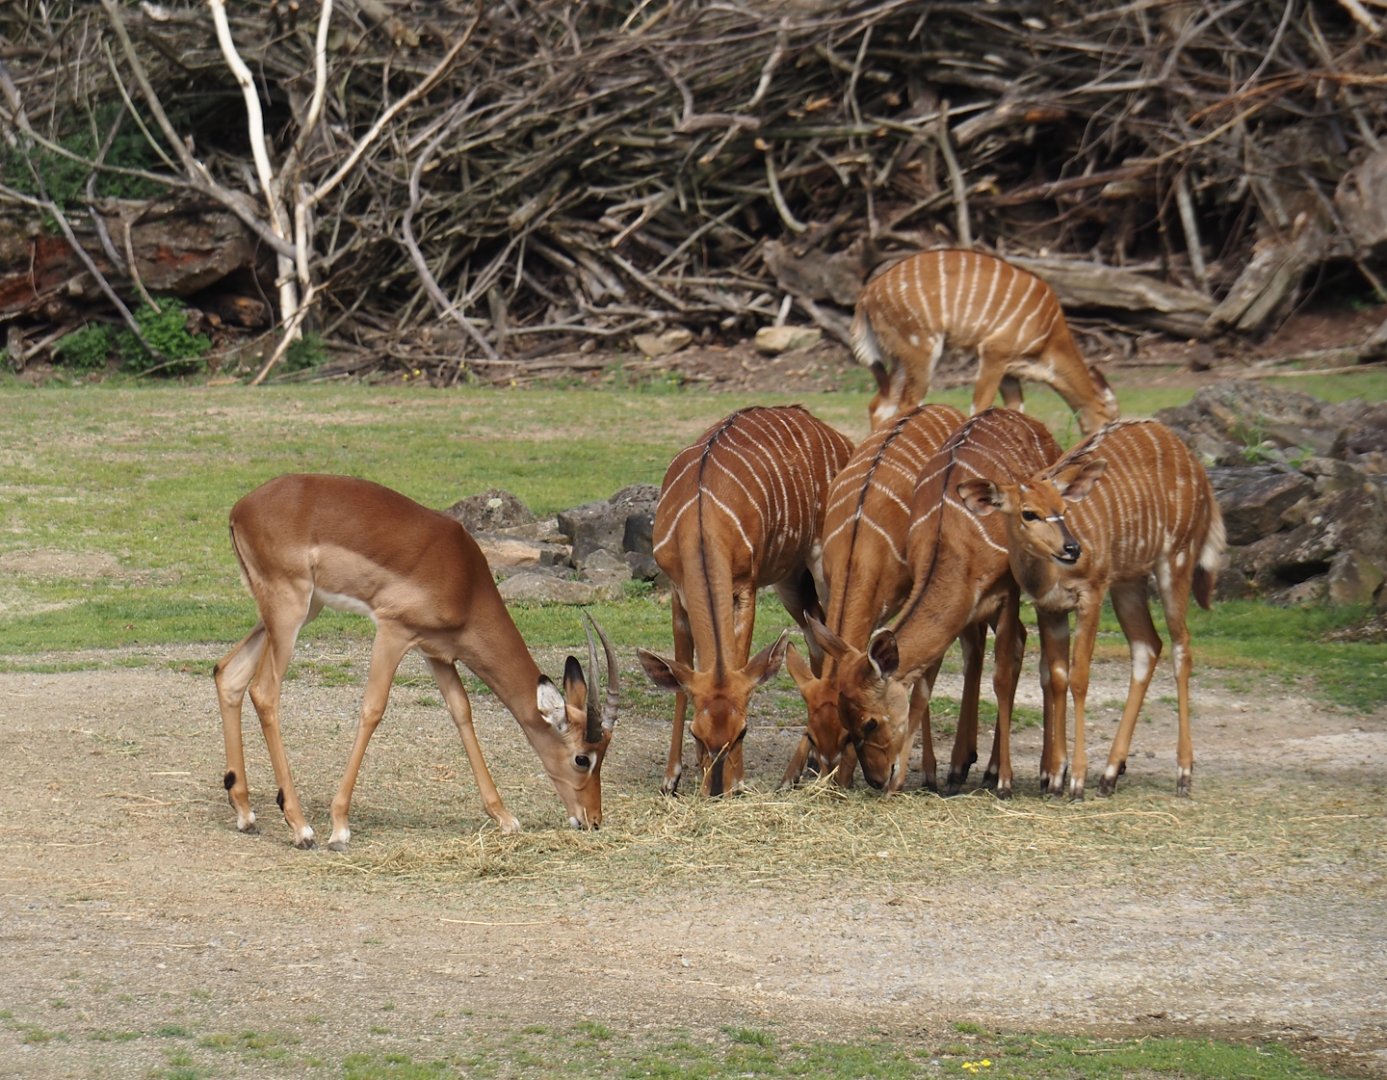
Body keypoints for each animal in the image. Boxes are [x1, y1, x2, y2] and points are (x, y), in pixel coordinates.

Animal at [213, 473, 620, 849]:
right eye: (583, 758)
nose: (593, 820)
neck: (465, 581)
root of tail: (241, 508)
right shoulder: (394, 632)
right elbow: (373, 709)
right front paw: (340, 827)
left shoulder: (436, 652)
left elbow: (461, 712)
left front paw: (505, 818)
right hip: (290, 610)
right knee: (264, 692)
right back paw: (301, 828)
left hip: (297, 611)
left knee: (228, 673)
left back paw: (246, 815)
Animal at [637, 405, 854, 796]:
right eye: (697, 733)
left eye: (743, 732)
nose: (719, 788)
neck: (701, 521)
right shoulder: (677, 589)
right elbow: (682, 666)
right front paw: (671, 776)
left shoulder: (745, 587)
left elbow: (739, 657)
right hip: (790, 581)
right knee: (816, 640)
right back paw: (808, 765)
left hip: (823, 563)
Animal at [831, 409, 1065, 795]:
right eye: (844, 720)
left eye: (870, 722)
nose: (877, 779)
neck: (956, 542)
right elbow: (924, 686)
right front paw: (911, 779)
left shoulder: (1008, 592)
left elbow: (1002, 677)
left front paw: (1005, 781)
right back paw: (969, 767)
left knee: (1044, 655)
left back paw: (1047, 772)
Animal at [852, 248, 1119, 436]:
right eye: (1110, 422)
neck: (1050, 337)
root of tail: (868, 292)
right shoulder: (993, 354)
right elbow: (979, 409)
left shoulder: (1009, 371)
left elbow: (1015, 411)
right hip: (923, 350)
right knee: (907, 404)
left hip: (901, 357)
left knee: (880, 405)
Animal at [957, 419, 1225, 799]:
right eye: (1029, 513)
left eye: (1064, 508)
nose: (1072, 548)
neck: (1050, 574)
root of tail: (1199, 470)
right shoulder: (1049, 608)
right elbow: (1058, 676)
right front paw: (1056, 777)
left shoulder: (1092, 594)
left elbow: (1080, 677)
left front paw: (1076, 780)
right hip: (1129, 581)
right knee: (1147, 645)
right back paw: (1111, 773)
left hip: (1175, 560)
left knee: (1181, 647)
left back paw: (1183, 774)